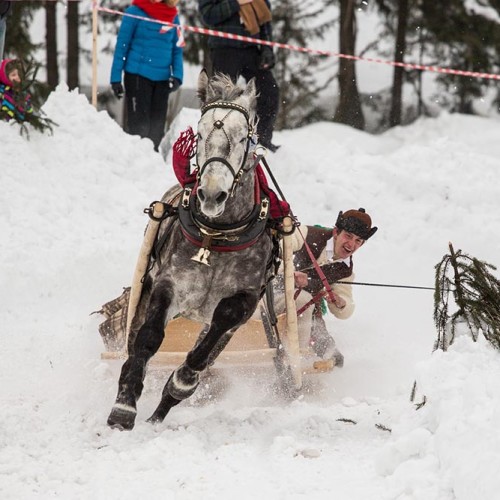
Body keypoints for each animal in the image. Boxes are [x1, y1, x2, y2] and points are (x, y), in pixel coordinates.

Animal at [106, 70, 278, 430]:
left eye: (243, 138)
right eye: (199, 133)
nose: (211, 194)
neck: (217, 236)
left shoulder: (244, 302)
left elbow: (205, 348)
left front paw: (180, 384)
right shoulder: (168, 283)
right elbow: (148, 338)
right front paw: (124, 406)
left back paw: (161, 410)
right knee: (133, 339)